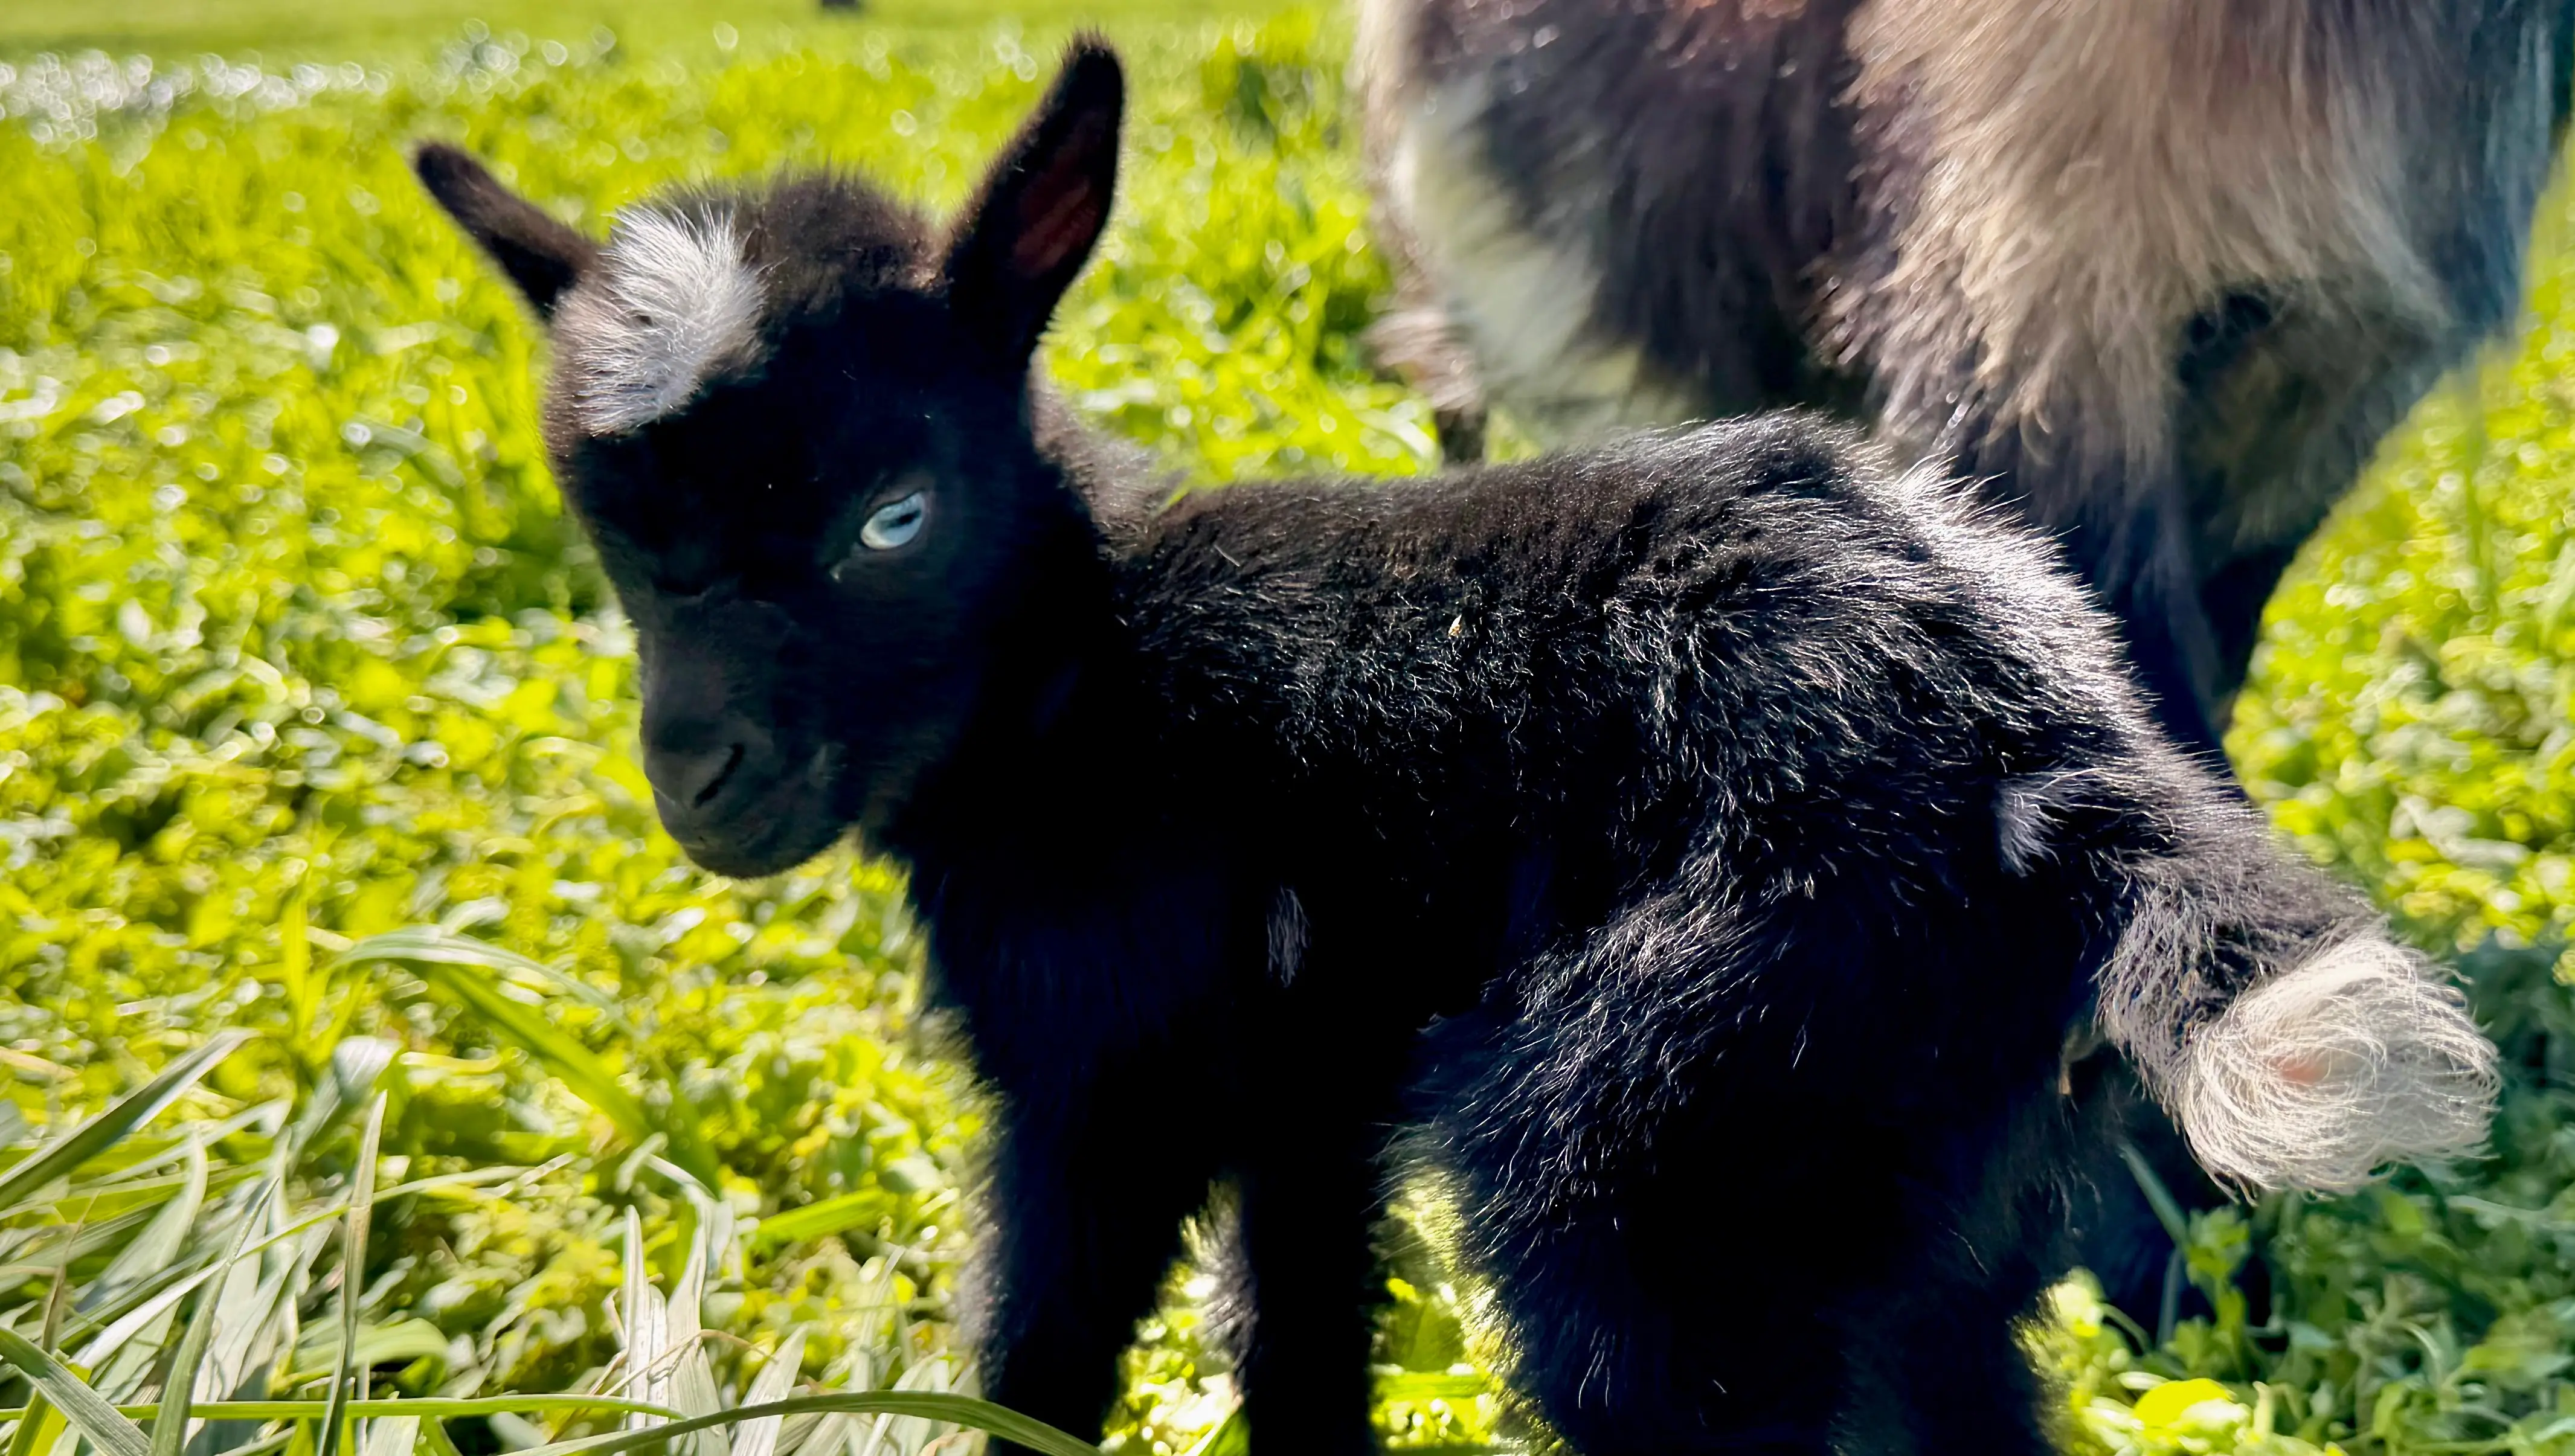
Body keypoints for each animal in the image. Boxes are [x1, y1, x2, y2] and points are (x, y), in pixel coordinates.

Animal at [413, 42, 2498, 1456]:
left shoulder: (1106, 1064)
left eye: (891, 517)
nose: (702, 782)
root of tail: (2047, 766)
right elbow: (1296, 1338)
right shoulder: (1295, 1083)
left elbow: (1045, 1352)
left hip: (1659, 1136)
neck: (1080, 669)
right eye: (612, 535)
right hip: (1912, 1173)